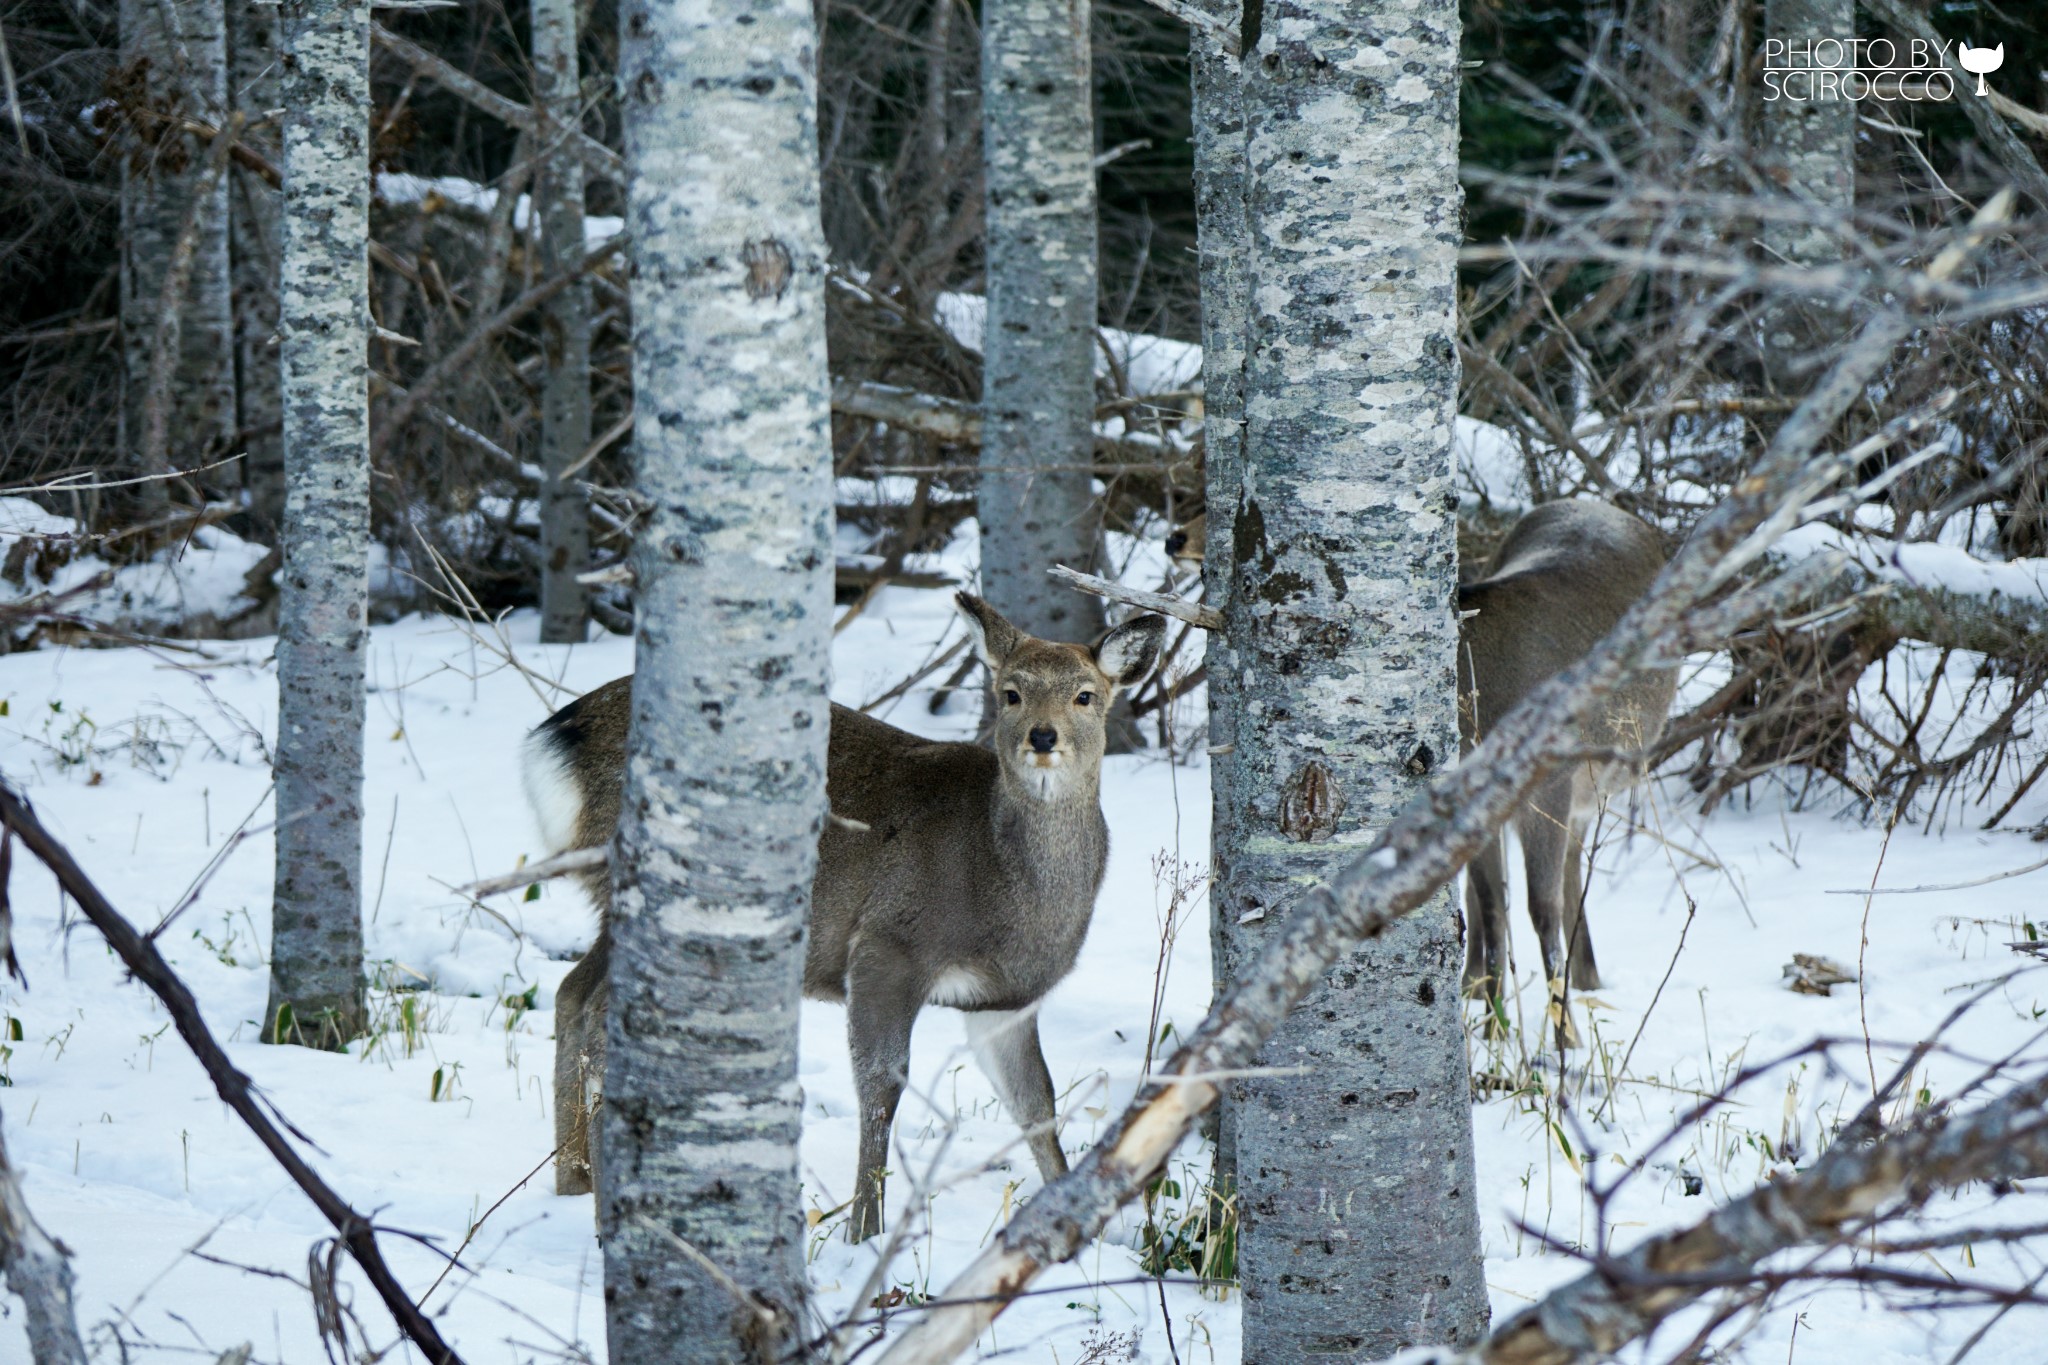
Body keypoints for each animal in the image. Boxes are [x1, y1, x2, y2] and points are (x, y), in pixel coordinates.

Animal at [520, 593, 1163, 1244]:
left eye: (1085, 694)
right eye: (1010, 692)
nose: (1042, 735)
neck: (1003, 885)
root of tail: (552, 740)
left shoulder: (1003, 1000)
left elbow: (1038, 1103)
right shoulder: (888, 946)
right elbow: (881, 1089)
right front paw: (864, 1232)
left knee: (572, 992)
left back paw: (573, 1182)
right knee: (601, 1020)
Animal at [1179, 501, 1671, 1047]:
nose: (1176, 538)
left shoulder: (1551, 786)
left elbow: (1541, 911)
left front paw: (1566, 1043)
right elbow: (1495, 909)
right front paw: (1494, 1031)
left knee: (1565, 875)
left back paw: (1581, 985)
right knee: (1508, 892)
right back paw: (1492, 986)